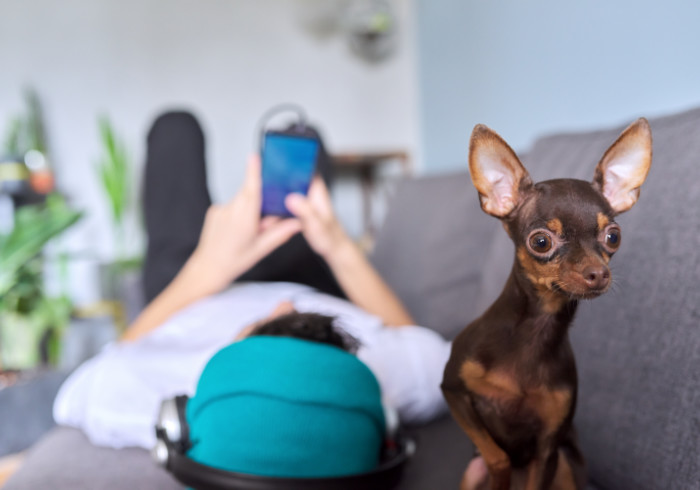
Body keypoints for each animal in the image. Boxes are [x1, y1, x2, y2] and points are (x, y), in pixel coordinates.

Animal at [442, 119, 652, 490]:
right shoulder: (453, 390)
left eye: (613, 236)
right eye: (541, 242)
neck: (536, 329)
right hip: (471, 471)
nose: (598, 274)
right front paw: (500, 477)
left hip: (566, 463)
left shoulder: (548, 449)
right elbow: (497, 457)